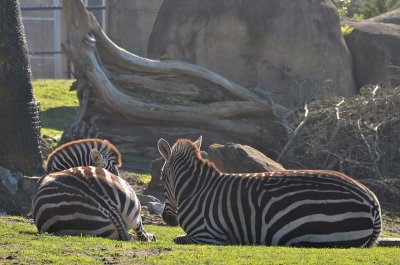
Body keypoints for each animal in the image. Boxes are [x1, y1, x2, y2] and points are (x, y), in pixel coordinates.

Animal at [156, 135, 382, 246]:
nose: (167, 219)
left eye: (161, 178)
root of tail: (372, 201)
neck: (196, 190)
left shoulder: (207, 235)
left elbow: (177, 239)